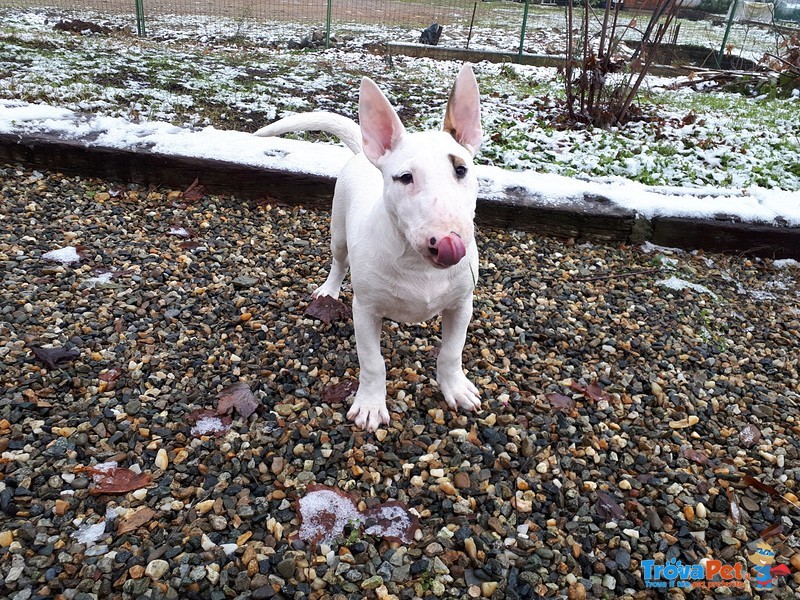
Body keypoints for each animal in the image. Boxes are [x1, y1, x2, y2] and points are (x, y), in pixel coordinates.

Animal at [256, 65, 482, 432]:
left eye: (461, 169)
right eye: (405, 177)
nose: (446, 242)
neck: (417, 265)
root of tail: (364, 155)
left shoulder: (462, 305)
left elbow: (451, 351)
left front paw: (456, 389)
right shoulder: (364, 310)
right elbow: (373, 361)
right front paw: (370, 406)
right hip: (338, 231)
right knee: (338, 261)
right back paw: (329, 291)